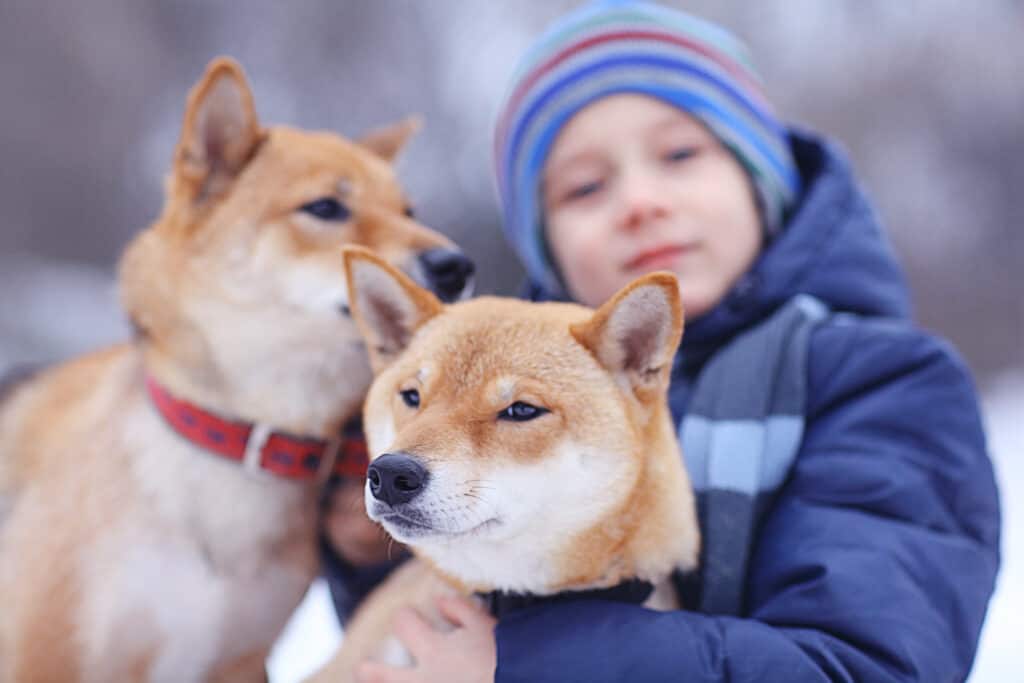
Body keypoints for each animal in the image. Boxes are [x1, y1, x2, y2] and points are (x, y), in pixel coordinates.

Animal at [0, 58, 473, 683]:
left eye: (408, 211)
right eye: (325, 207)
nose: (456, 265)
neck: (233, 441)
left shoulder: (238, 660)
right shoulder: (44, 654)